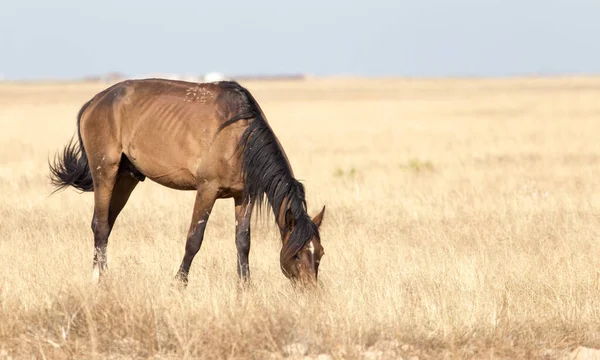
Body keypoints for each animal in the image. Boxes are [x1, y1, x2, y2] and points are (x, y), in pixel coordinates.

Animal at [49, 79, 326, 286]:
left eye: (320, 253)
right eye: (296, 255)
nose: (310, 290)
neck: (239, 137)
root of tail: (93, 103)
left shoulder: (243, 196)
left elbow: (243, 242)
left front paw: (245, 288)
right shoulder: (207, 190)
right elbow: (194, 239)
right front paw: (179, 283)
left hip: (126, 178)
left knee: (106, 225)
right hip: (105, 173)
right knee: (100, 225)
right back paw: (99, 280)